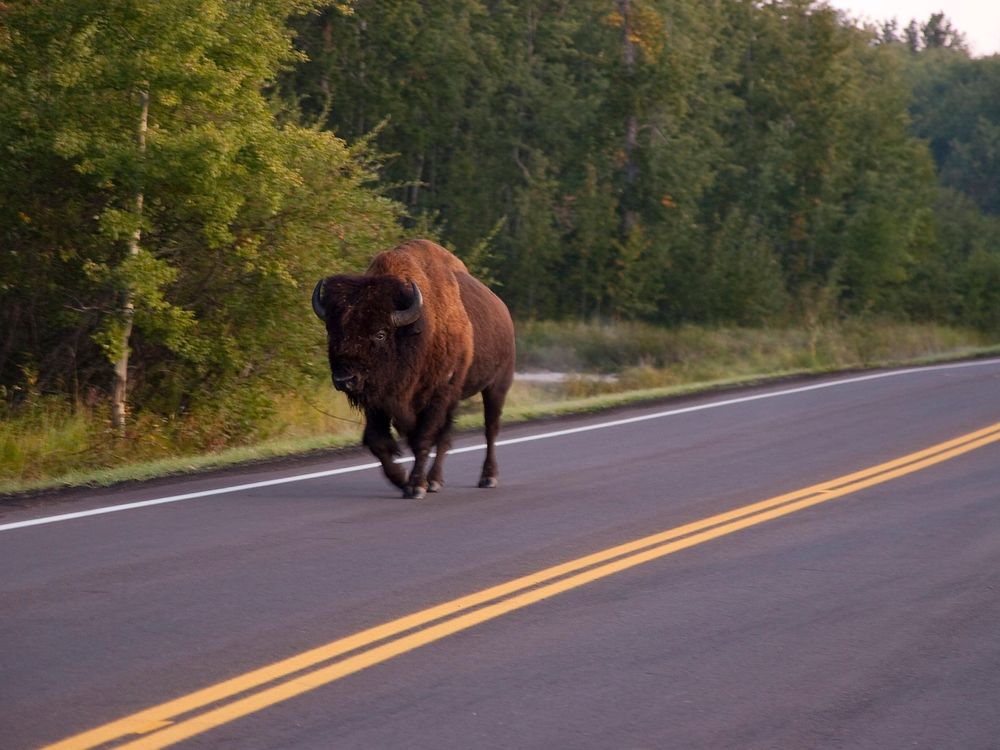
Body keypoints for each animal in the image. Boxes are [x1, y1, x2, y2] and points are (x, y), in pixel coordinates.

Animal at [312, 241, 516, 500]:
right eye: (332, 331)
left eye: (381, 333)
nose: (344, 378)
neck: (416, 332)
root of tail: (504, 311)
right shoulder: (378, 401)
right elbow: (378, 441)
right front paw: (402, 479)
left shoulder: (436, 396)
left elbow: (423, 439)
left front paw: (415, 487)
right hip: (455, 398)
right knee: (446, 438)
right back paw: (435, 481)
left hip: (496, 385)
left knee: (490, 429)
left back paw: (487, 477)